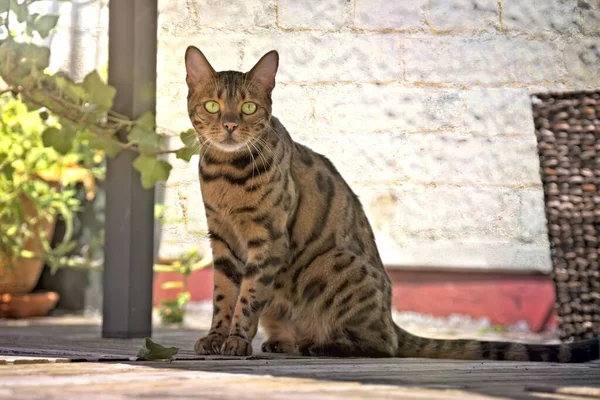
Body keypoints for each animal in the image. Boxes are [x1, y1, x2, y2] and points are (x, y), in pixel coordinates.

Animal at [185, 46, 596, 362]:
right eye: (213, 105)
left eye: (249, 108)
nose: (230, 125)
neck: (227, 175)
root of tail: (391, 316)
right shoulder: (223, 241)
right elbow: (224, 296)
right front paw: (216, 337)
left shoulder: (267, 240)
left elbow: (249, 296)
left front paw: (237, 340)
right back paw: (286, 342)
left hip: (333, 264)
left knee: (383, 344)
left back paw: (322, 345)